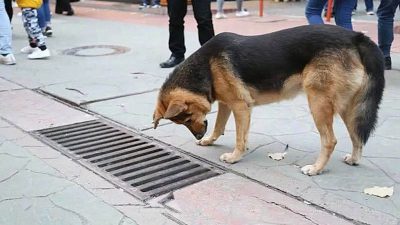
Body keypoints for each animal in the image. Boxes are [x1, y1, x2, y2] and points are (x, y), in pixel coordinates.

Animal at [152, 25, 384, 176]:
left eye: (188, 117)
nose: (199, 135)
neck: (206, 66)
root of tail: (355, 36)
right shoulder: (227, 105)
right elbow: (219, 127)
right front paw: (209, 140)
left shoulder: (241, 107)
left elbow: (239, 138)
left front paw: (235, 157)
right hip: (348, 108)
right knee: (357, 136)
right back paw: (354, 159)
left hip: (318, 103)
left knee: (330, 141)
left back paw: (316, 169)